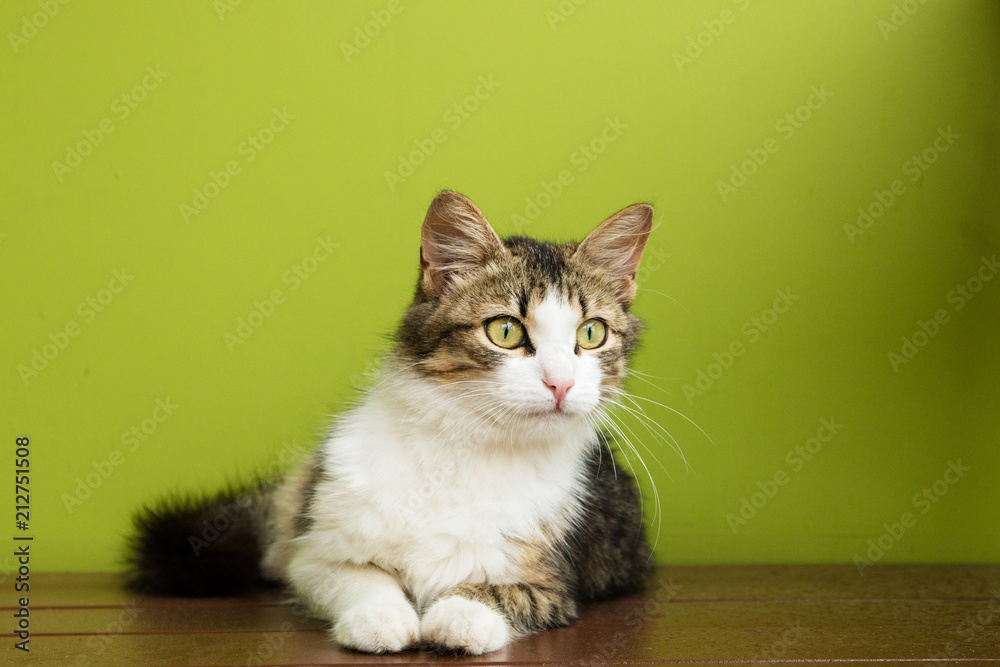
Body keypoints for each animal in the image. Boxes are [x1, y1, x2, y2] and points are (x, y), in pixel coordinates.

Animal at [127, 190, 656, 656]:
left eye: (592, 333)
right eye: (505, 331)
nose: (561, 383)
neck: (467, 446)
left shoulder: (558, 581)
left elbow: (498, 591)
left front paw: (458, 618)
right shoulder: (318, 553)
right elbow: (361, 579)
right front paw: (380, 619)